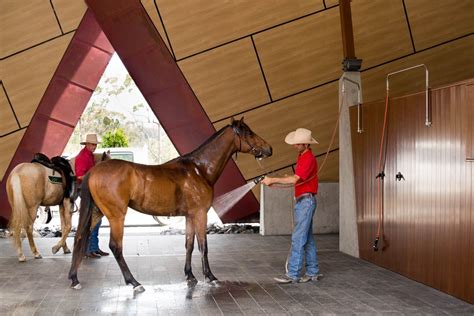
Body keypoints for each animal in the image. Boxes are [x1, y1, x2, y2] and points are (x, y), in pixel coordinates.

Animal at [68, 118, 272, 292]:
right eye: (248, 133)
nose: (269, 149)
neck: (199, 169)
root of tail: (94, 171)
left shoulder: (190, 216)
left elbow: (189, 244)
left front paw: (190, 275)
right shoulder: (201, 214)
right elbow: (203, 246)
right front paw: (210, 276)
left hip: (96, 213)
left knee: (79, 237)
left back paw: (74, 279)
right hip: (116, 216)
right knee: (115, 247)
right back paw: (134, 283)